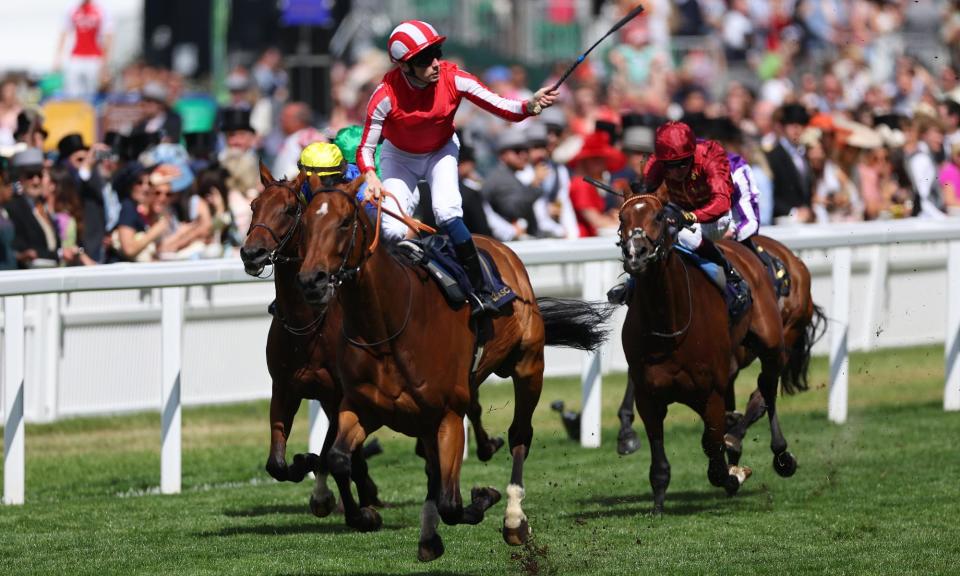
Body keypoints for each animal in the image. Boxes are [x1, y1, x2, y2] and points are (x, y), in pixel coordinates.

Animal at [296, 183, 612, 560]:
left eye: (345, 222)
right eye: (304, 222)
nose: (311, 281)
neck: (388, 325)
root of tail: (501, 248)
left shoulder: (447, 412)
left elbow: (452, 503)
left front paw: (484, 496)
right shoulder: (362, 407)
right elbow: (339, 458)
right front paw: (365, 515)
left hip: (528, 365)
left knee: (520, 435)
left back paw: (514, 519)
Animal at [620, 195, 792, 512]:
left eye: (659, 216)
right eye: (621, 218)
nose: (636, 253)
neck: (669, 325)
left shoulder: (710, 392)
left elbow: (714, 454)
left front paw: (734, 474)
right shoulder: (648, 396)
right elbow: (660, 459)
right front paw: (658, 505)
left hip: (772, 344)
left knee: (767, 388)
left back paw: (782, 454)